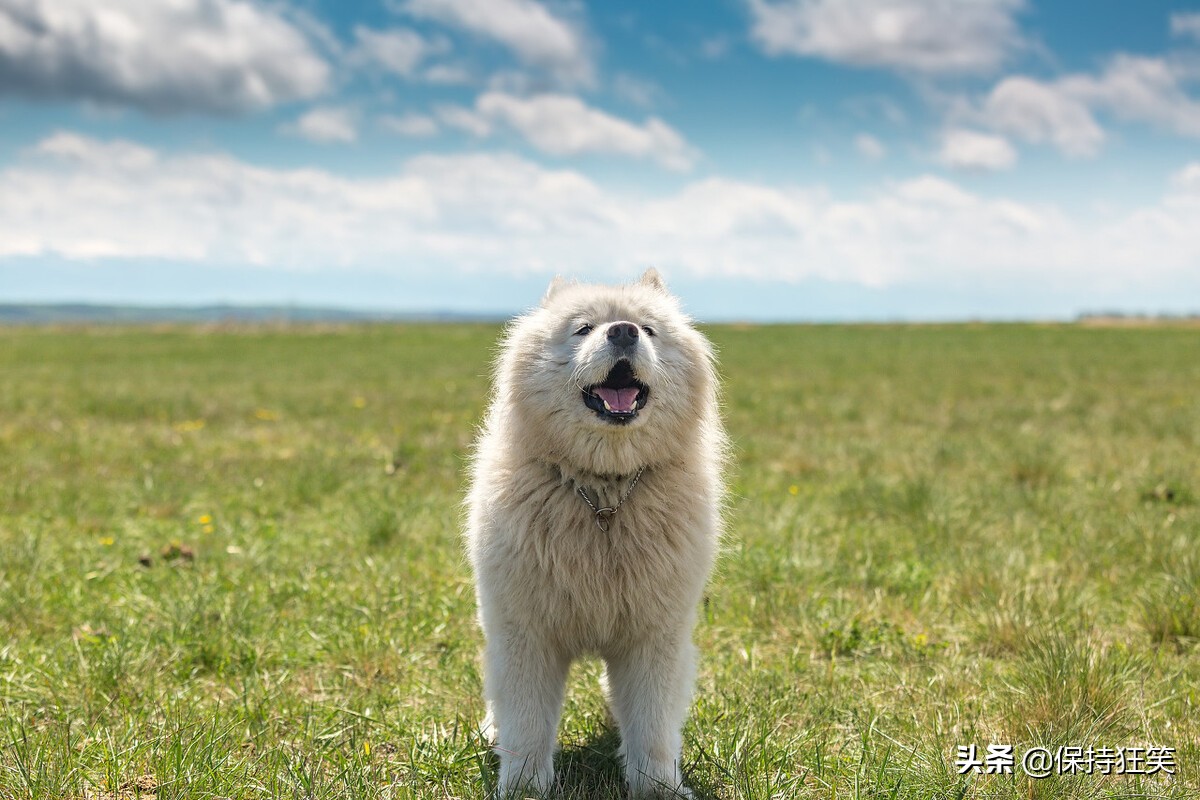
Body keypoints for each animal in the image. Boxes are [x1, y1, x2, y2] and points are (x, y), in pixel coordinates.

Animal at [463, 272, 724, 796]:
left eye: (649, 329)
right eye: (583, 328)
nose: (623, 331)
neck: (604, 494)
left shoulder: (653, 636)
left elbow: (652, 724)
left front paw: (658, 787)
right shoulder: (527, 633)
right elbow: (527, 723)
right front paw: (524, 787)